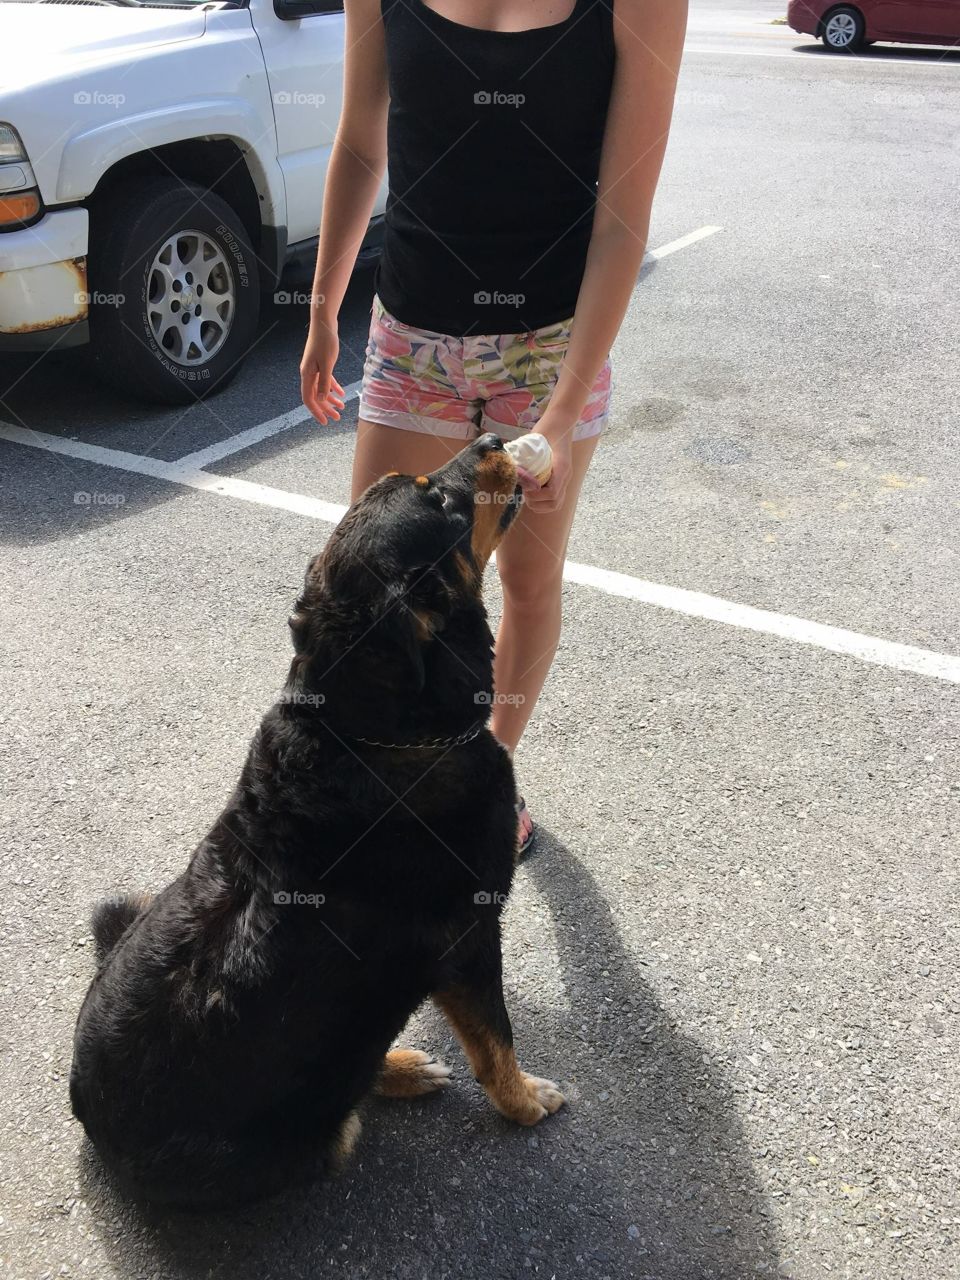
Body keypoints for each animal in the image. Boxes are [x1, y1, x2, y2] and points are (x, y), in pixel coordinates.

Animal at [71, 435, 568, 1203]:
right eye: (440, 501)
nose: (489, 441)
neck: (368, 730)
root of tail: (90, 1122)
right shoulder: (469, 934)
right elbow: (495, 1041)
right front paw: (523, 1103)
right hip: (318, 1138)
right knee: (346, 1098)